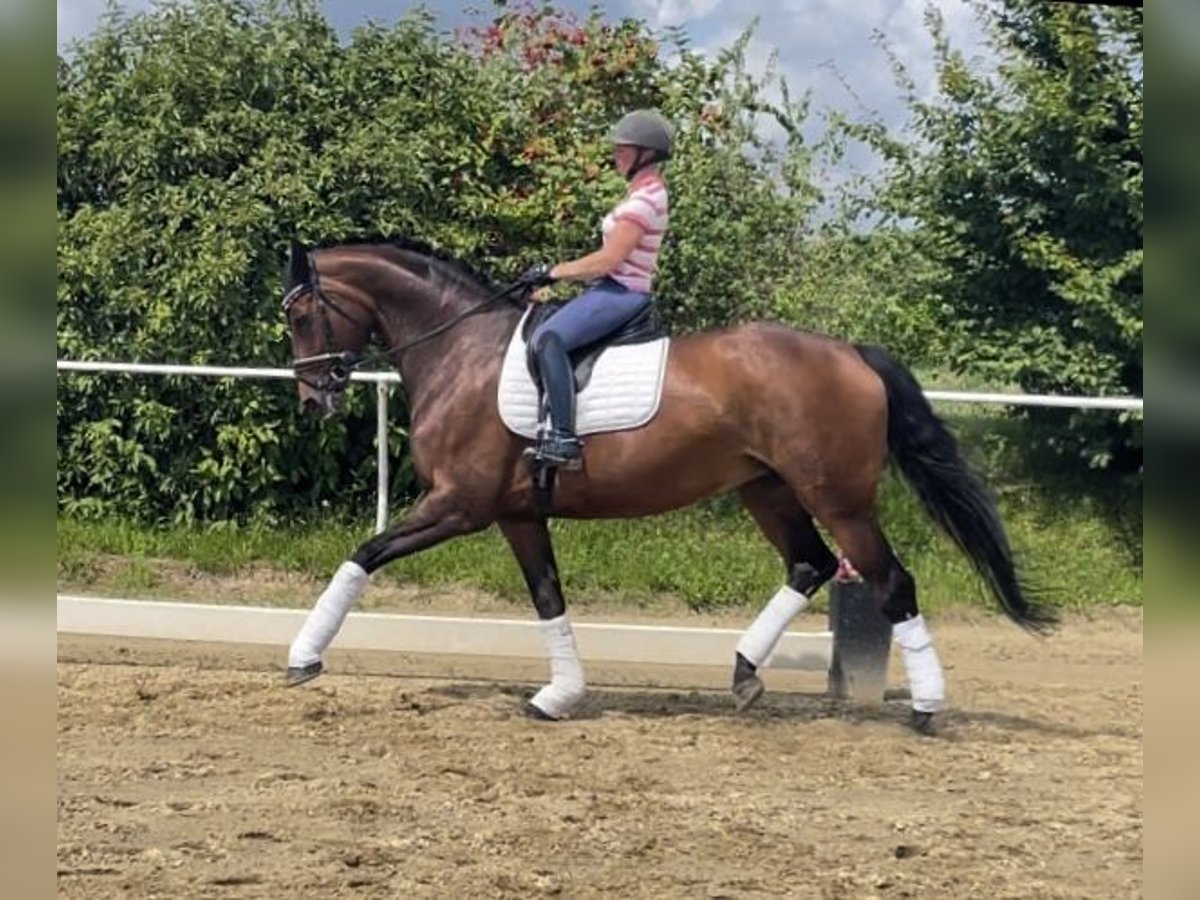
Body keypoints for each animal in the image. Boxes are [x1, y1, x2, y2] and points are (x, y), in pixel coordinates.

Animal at [278, 237, 1051, 734]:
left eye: (298, 314)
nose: (313, 399)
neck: (461, 351)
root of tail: (851, 354)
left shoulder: (459, 504)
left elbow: (363, 554)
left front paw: (303, 657)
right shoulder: (515, 513)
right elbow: (549, 598)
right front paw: (560, 696)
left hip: (837, 497)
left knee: (889, 581)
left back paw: (926, 709)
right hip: (767, 489)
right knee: (810, 564)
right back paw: (743, 674)